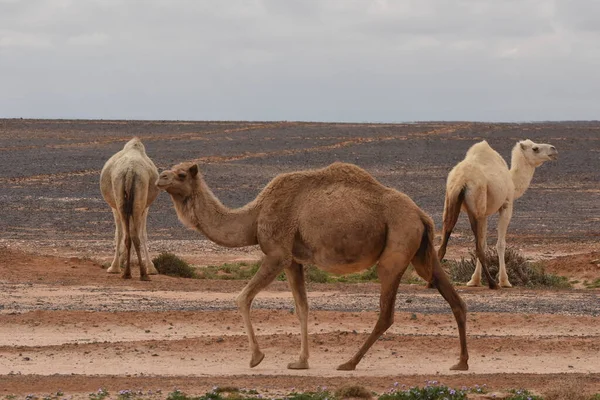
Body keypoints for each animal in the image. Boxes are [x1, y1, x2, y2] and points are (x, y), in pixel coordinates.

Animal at [99, 138, 159, 282]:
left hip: (122, 197)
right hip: (137, 199)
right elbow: (139, 234)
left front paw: (114, 267)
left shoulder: (116, 207)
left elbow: (120, 233)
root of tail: (130, 170)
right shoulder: (144, 207)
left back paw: (129, 273)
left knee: (129, 235)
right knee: (133, 235)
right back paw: (141, 274)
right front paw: (151, 268)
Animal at [157, 161, 472, 370]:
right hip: (421, 250)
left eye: (181, 174)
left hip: (396, 249)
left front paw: (256, 357)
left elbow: (242, 298)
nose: (160, 177)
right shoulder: (294, 260)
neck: (254, 216)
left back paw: (349, 363)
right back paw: (461, 363)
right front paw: (300, 361)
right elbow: (302, 307)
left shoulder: (277, 253)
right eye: (169, 169)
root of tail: (420, 214)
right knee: (453, 297)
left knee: (386, 312)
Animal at [436, 139, 556, 290]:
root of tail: (462, 181)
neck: (512, 181)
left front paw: (474, 280)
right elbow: (500, 244)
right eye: (535, 148)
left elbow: (485, 243)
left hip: (451, 199)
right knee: (477, 246)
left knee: (446, 235)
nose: (553, 149)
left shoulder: (485, 214)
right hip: (477, 203)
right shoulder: (506, 205)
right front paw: (505, 281)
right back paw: (493, 283)